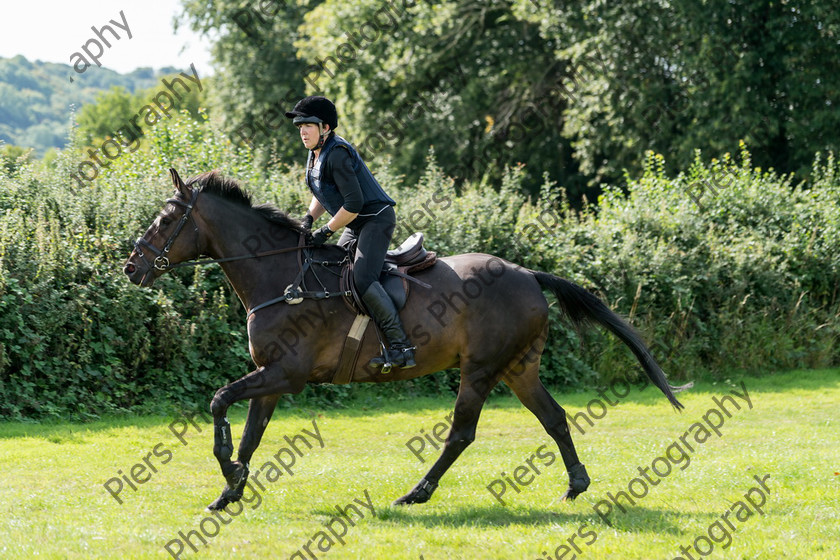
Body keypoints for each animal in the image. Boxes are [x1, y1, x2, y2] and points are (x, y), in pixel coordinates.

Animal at [123, 170, 688, 512]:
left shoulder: (286, 375)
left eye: (167, 219)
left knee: (461, 434)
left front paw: (227, 470)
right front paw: (230, 490)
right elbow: (250, 435)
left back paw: (416, 493)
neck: (279, 277)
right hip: (518, 367)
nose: (131, 268)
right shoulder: (271, 377)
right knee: (553, 417)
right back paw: (576, 485)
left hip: (480, 369)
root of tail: (527, 273)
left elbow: (220, 402)